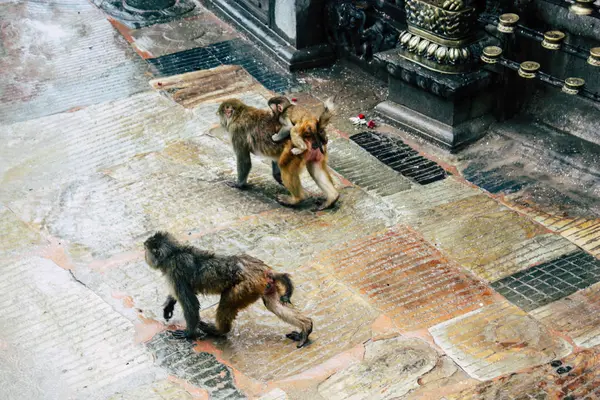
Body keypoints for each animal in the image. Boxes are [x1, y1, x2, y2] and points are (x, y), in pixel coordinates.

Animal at [143, 231, 312, 346]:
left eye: (146, 250)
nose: (145, 256)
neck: (174, 252)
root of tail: (262, 269)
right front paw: (169, 304)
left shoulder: (175, 270)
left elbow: (191, 304)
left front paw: (189, 334)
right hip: (264, 285)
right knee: (273, 305)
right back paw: (307, 326)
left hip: (248, 286)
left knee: (227, 300)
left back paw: (219, 331)